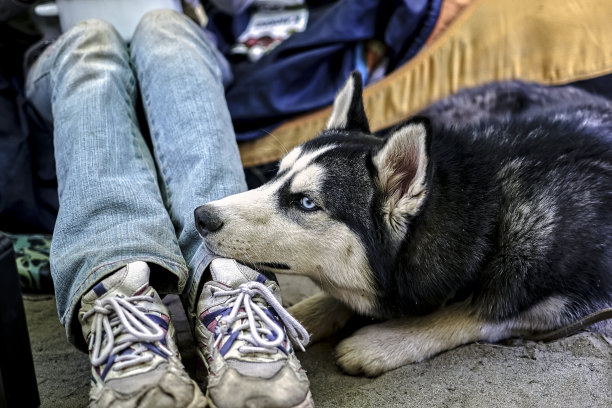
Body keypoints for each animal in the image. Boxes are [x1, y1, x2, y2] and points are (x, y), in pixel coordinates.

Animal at [197, 72, 612, 376]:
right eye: (276, 175)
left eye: (306, 202)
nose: (201, 216)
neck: (488, 219)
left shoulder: (576, 302)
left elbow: (473, 312)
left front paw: (382, 342)